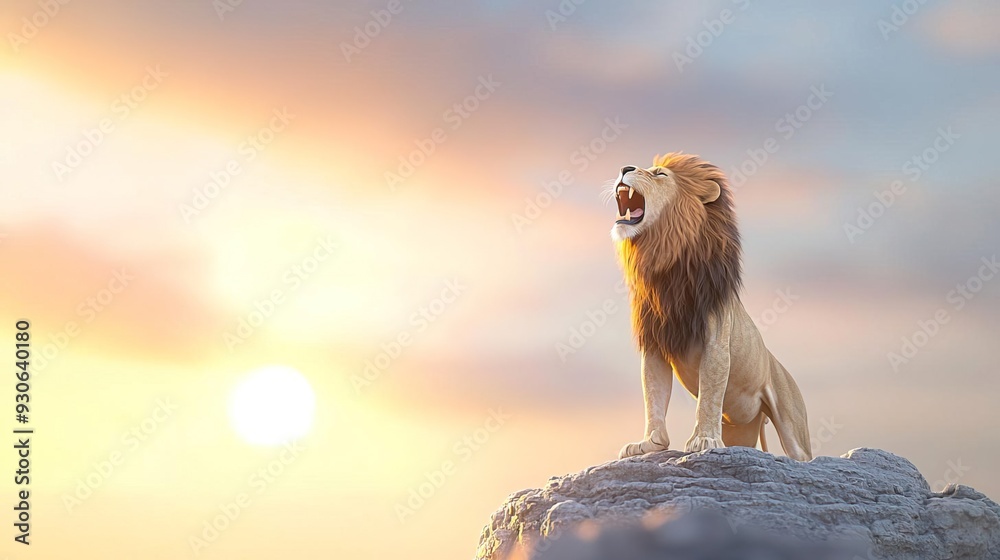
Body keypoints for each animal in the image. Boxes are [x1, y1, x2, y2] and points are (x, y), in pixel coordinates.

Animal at [609, 153, 812, 461]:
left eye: (660, 174)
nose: (624, 168)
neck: (667, 264)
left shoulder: (715, 340)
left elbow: (709, 395)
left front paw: (703, 439)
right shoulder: (655, 343)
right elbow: (653, 394)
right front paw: (650, 443)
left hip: (792, 424)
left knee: (802, 455)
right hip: (742, 428)